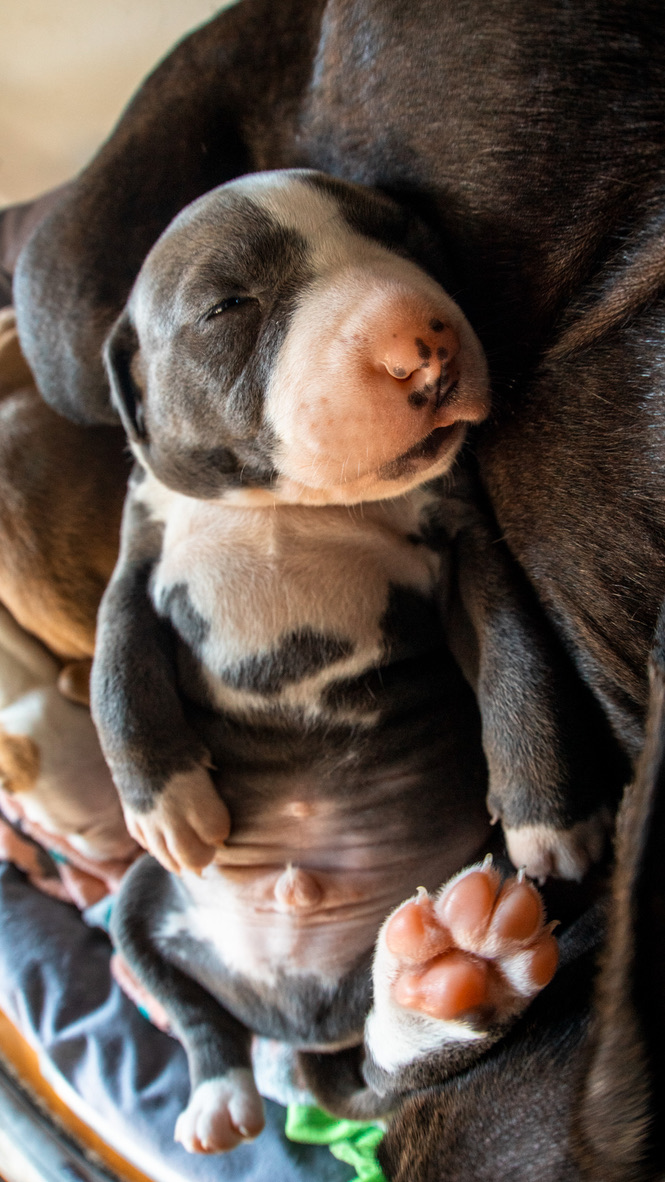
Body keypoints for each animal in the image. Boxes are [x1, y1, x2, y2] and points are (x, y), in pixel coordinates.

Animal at [11, 0, 665, 1174]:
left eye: (408, 243)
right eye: (228, 304)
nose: (425, 341)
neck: (289, 508)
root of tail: (303, 1010)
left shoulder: (463, 556)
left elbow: (518, 668)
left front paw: (552, 819)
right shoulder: (141, 569)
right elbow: (120, 677)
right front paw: (171, 804)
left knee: (396, 1065)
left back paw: (452, 972)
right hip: (144, 913)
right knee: (197, 1013)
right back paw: (222, 1096)